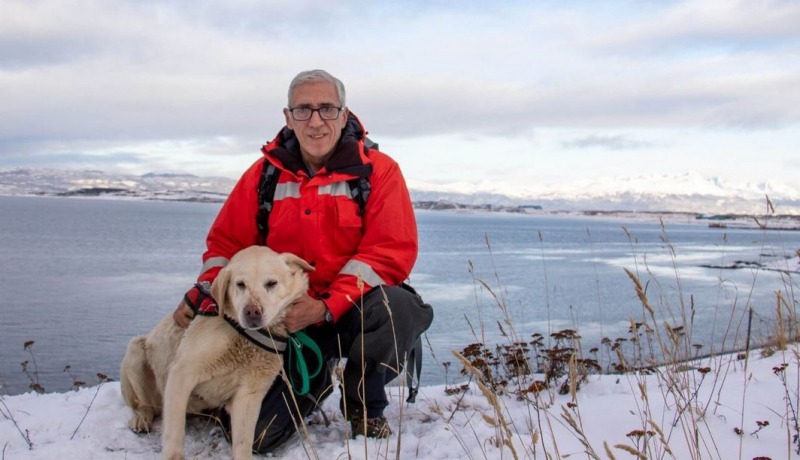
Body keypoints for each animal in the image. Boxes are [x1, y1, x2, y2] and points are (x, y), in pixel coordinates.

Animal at [119, 246, 312, 460]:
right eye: (240, 284)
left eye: (271, 283)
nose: (252, 312)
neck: (242, 336)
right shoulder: (181, 375)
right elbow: (174, 431)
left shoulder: (250, 394)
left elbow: (243, 442)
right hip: (136, 351)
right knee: (145, 405)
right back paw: (141, 419)